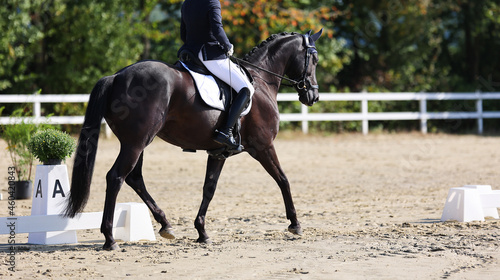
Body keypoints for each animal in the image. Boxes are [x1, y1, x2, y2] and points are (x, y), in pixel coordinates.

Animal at [65, 29, 324, 250]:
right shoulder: (263, 146)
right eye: (314, 59)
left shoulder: (218, 152)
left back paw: (166, 225)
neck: (260, 81)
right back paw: (110, 239)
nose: (313, 95)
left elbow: (209, 188)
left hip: (136, 142)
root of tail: (117, 76)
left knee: (135, 178)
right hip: (136, 143)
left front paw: (202, 232)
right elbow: (283, 179)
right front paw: (295, 224)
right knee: (116, 177)